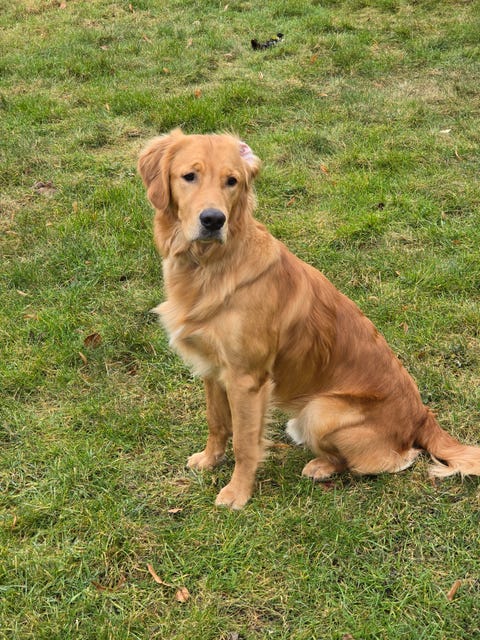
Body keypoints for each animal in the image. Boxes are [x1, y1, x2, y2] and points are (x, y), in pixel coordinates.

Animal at [138, 128, 480, 509]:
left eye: (232, 181)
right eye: (189, 176)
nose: (213, 219)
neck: (209, 265)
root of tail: (422, 415)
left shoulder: (247, 379)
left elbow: (244, 442)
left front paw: (237, 492)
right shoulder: (213, 368)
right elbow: (217, 422)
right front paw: (210, 460)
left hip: (318, 410)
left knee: (394, 459)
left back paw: (322, 466)